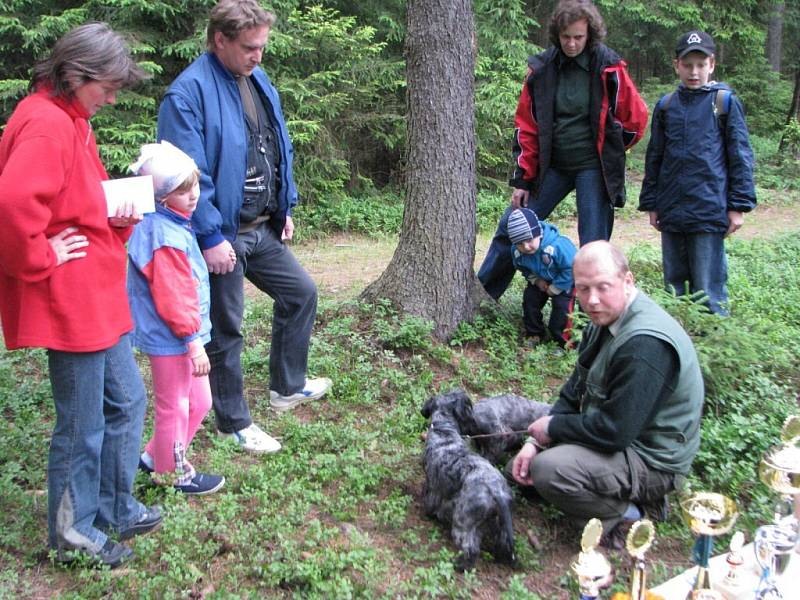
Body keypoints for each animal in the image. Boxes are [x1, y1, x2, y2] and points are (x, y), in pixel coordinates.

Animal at [422, 390, 516, 572]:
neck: (445, 431)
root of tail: (497, 492)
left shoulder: (434, 486)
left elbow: (430, 501)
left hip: (463, 521)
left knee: (471, 548)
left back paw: (460, 565)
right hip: (500, 522)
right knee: (502, 542)